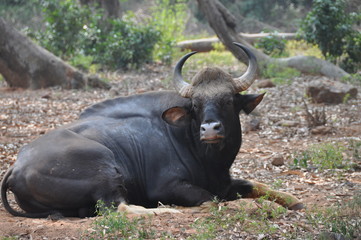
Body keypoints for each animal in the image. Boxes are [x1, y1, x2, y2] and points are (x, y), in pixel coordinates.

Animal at [1, 42, 302, 218]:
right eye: (195, 105)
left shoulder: (225, 181)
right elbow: (212, 199)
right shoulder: (167, 187)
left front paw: (294, 200)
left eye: (228, 100)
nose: (210, 129)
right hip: (105, 168)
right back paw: (166, 213)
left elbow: (257, 185)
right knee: (117, 207)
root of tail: (16, 166)